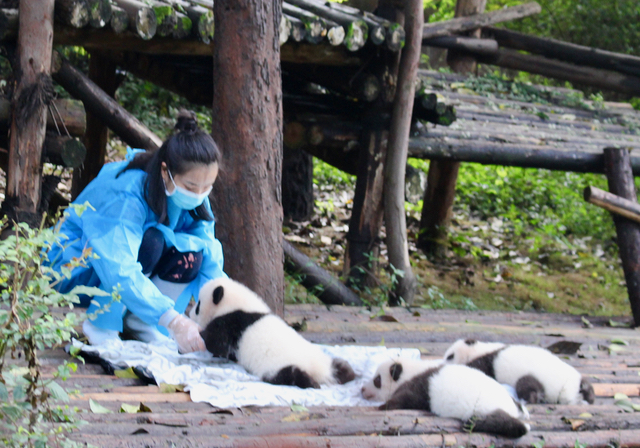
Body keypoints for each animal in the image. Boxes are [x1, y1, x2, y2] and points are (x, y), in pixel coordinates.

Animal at [190, 276, 356, 388]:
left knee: (287, 375)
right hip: (323, 358)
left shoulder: (231, 323)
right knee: (338, 366)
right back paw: (346, 372)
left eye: (198, 306)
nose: (190, 314)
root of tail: (319, 370)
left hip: (276, 367)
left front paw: (202, 334)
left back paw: (309, 381)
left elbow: (218, 344)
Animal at [370, 358, 528, 440]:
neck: (413, 369)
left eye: (377, 380)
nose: (365, 391)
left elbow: (405, 398)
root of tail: (513, 410)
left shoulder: (421, 386)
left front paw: (383, 406)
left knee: (496, 421)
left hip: (485, 408)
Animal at [444, 338, 596, 404]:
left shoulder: (486, 363)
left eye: (450, 356)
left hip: (536, 379)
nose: (443, 362)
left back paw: (528, 398)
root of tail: (573, 390)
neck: (480, 350)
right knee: (587, 385)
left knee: (528, 387)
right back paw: (589, 395)